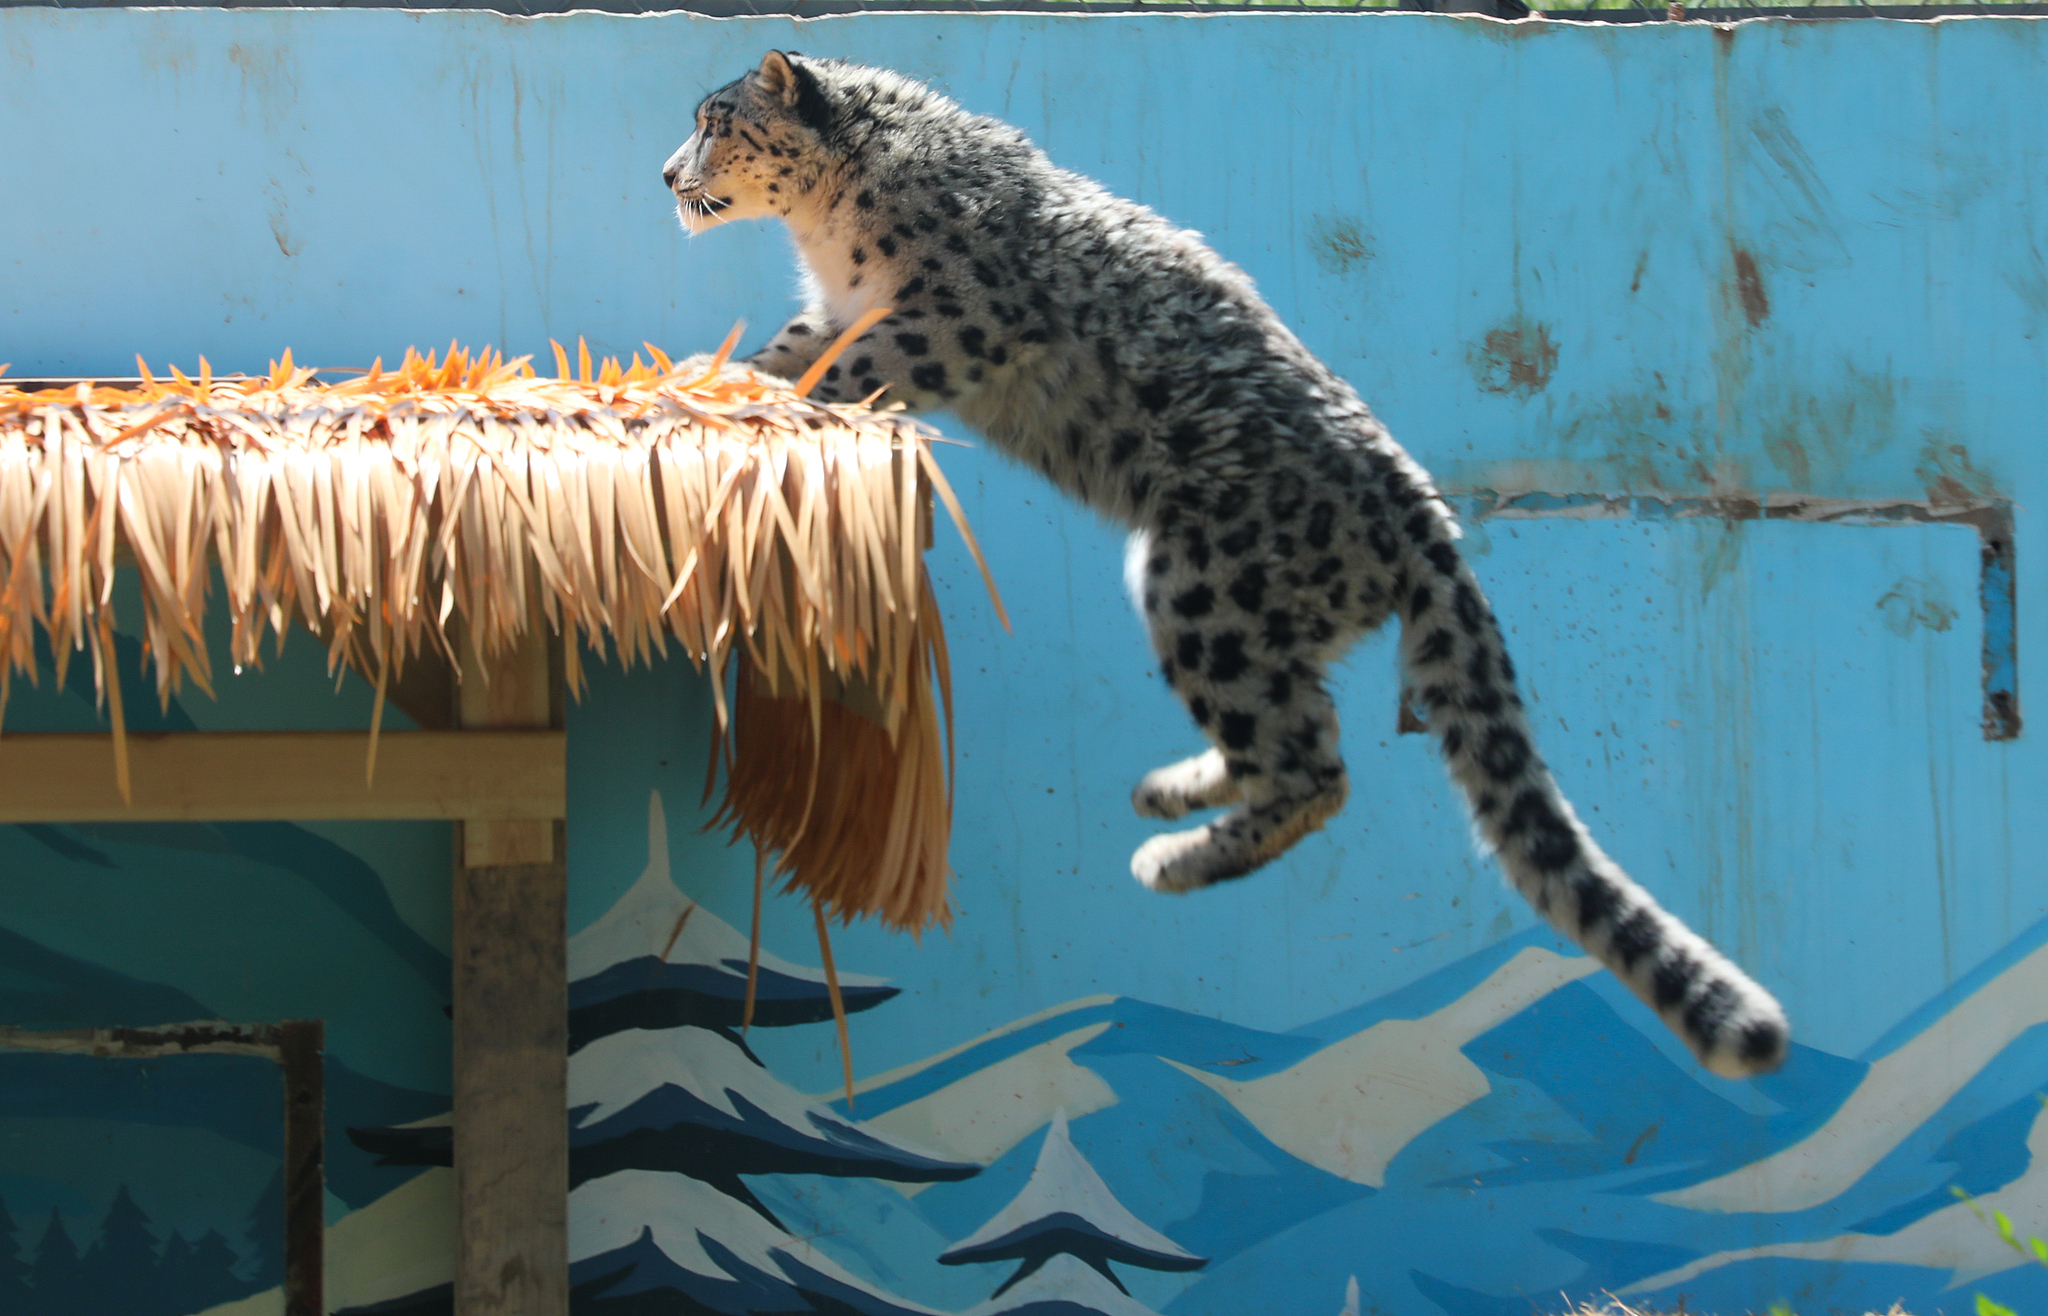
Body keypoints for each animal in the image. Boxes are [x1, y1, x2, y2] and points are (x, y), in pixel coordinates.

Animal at [662, 51, 1790, 1077]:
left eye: (716, 120)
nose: (669, 174)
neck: (833, 229)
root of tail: (1425, 513)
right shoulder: (839, 307)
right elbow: (790, 346)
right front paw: (696, 373)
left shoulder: (949, 319)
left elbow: (830, 365)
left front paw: (728, 389)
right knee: (1289, 736)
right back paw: (1173, 793)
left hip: (1202, 588)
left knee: (1314, 763)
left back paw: (1171, 857)